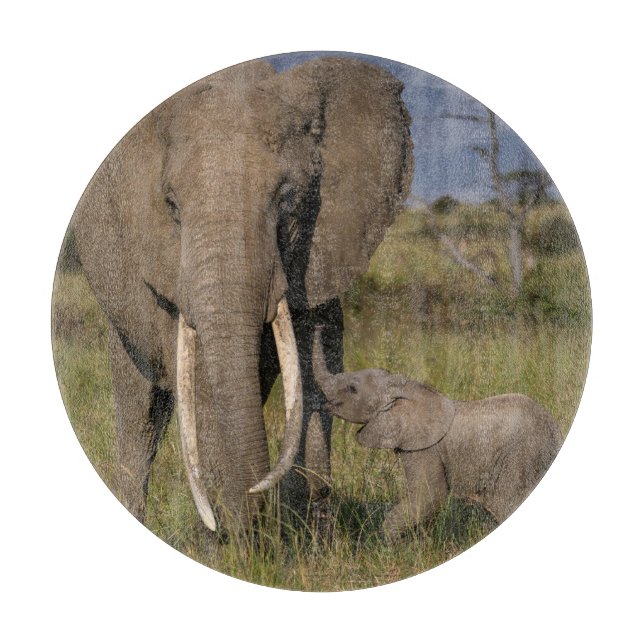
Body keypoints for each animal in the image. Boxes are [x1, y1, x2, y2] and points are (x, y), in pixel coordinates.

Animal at [69, 57, 413, 537]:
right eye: (171, 206)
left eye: (288, 199)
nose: (254, 504)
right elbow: (201, 390)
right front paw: (232, 541)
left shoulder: (319, 255)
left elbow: (314, 371)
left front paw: (306, 537)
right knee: (141, 414)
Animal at [312, 327, 563, 541]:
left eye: (352, 389)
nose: (319, 325)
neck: (406, 388)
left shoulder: (425, 449)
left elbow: (429, 496)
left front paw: (386, 546)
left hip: (521, 460)